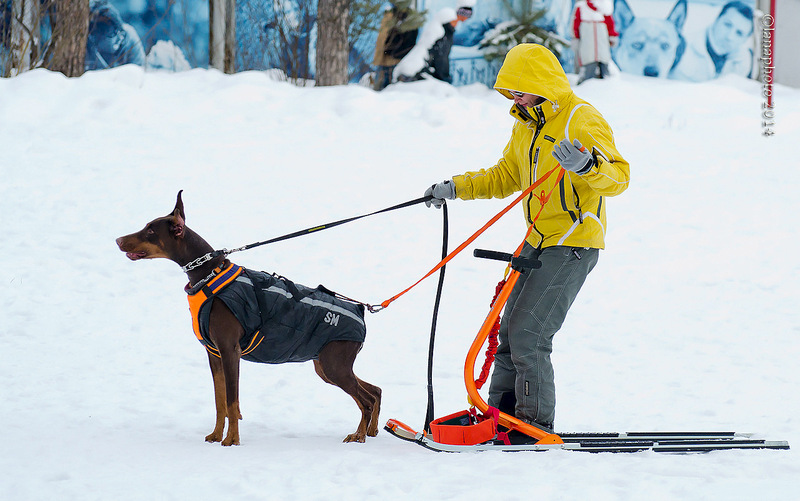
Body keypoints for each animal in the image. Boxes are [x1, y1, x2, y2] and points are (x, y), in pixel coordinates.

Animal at [115, 191, 382, 446]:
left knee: (366, 401)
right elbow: (220, 401)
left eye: (151, 230)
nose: (118, 240)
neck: (208, 275)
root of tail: (361, 313)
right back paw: (371, 431)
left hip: (334, 365)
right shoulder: (214, 355)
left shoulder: (229, 350)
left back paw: (359, 435)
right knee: (375, 391)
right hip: (326, 366)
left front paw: (232, 440)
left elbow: (232, 401)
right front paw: (216, 435)